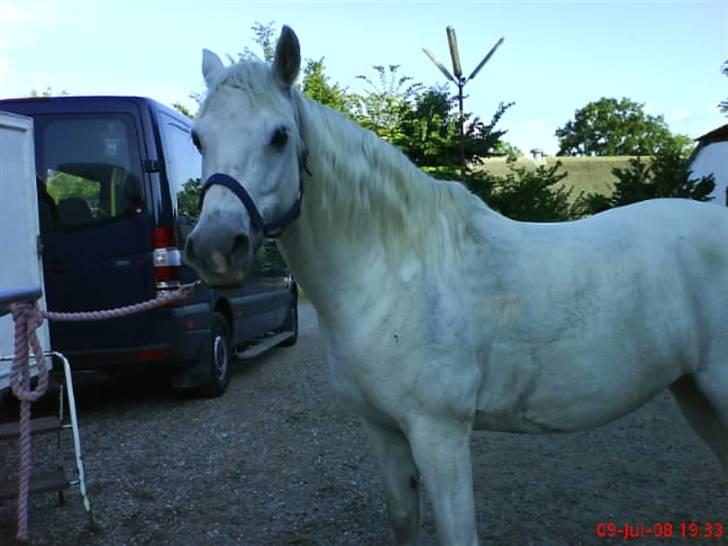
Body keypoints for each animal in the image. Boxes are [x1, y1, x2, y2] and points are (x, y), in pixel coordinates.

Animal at [184, 26, 728, 546]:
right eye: (197, 139)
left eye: (279, 136)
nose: (215, 247)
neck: (393, 272)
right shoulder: (383, 430)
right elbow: (403, 520)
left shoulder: (438, 433)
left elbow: (458, 533)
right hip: (694, 394)